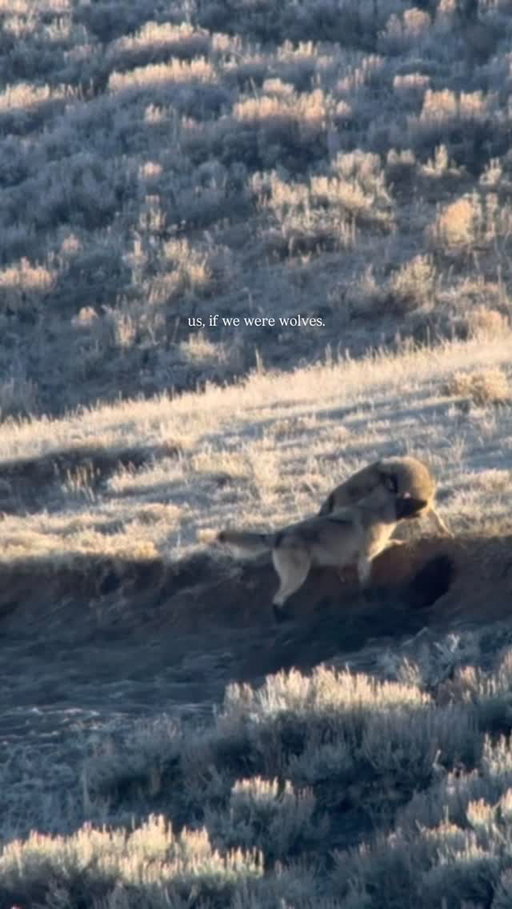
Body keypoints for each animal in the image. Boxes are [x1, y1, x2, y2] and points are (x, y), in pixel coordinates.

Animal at [217, 486, 426, 621]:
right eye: (409, 499)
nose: (426, 501)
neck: (375, 510)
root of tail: (280, 534)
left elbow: (393, 543)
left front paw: (406, 542)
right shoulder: (365, 560)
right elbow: (366, 586)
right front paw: (370, 603)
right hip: (297, 576)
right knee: (277, 599)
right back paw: (283, 619)